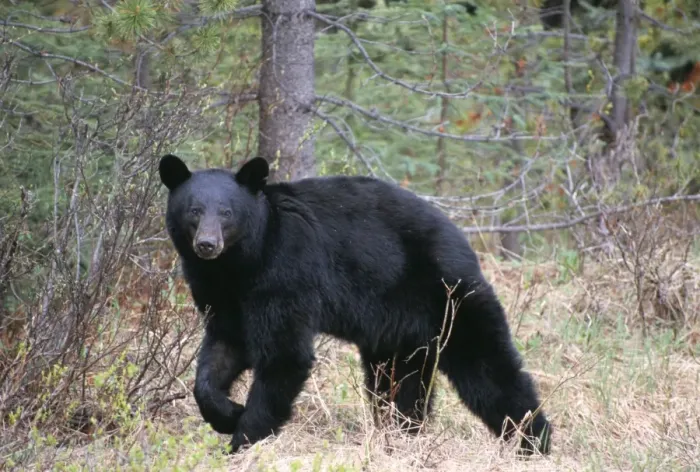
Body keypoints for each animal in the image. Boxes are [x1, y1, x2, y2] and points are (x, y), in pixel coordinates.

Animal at [158, 154, 552, 456]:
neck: (240, 264)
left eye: (227, 212)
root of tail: (463, 242)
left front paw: (244, 439)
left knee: (489, 370)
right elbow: (222, 350)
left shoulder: (285, 272)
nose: (207, 244)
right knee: (399, 384)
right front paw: (226, 411)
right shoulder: (221, 294)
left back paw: (534, 441)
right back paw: (400, 435)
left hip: (451, 299)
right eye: (194, 211)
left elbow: (284, 355)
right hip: (399, 332)